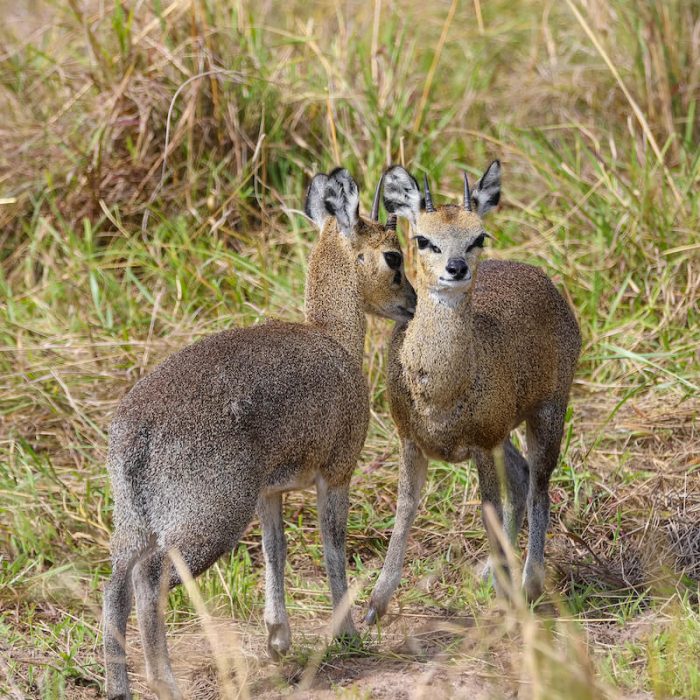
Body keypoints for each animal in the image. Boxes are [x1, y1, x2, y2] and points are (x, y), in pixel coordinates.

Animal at [102, 170, 416, 700]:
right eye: (393, 255)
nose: (412, 303)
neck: (335, 339)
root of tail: (133, 438)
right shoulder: (337, 473)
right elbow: (333, 546)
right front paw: (348, 634)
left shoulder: (271, 492)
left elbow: (276, 551)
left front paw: (278, 639)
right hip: (210, 518)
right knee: (149, 580)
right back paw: (165, 682)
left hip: (134, 525)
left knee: (115, 588)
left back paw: (120, 685)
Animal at [360, 163, 580, 624]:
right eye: (422, 239)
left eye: (478, 236)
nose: (456, 267)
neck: (440, 393)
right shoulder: (411, 440)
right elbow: (405, 508)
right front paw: (374, 605)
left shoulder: (482, 443)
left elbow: (488, 511)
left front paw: (508, 599)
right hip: (505, 432)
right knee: (522, 476)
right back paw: (491, 573)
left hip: (548, 411)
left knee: (539, 486)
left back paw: (529, 583)